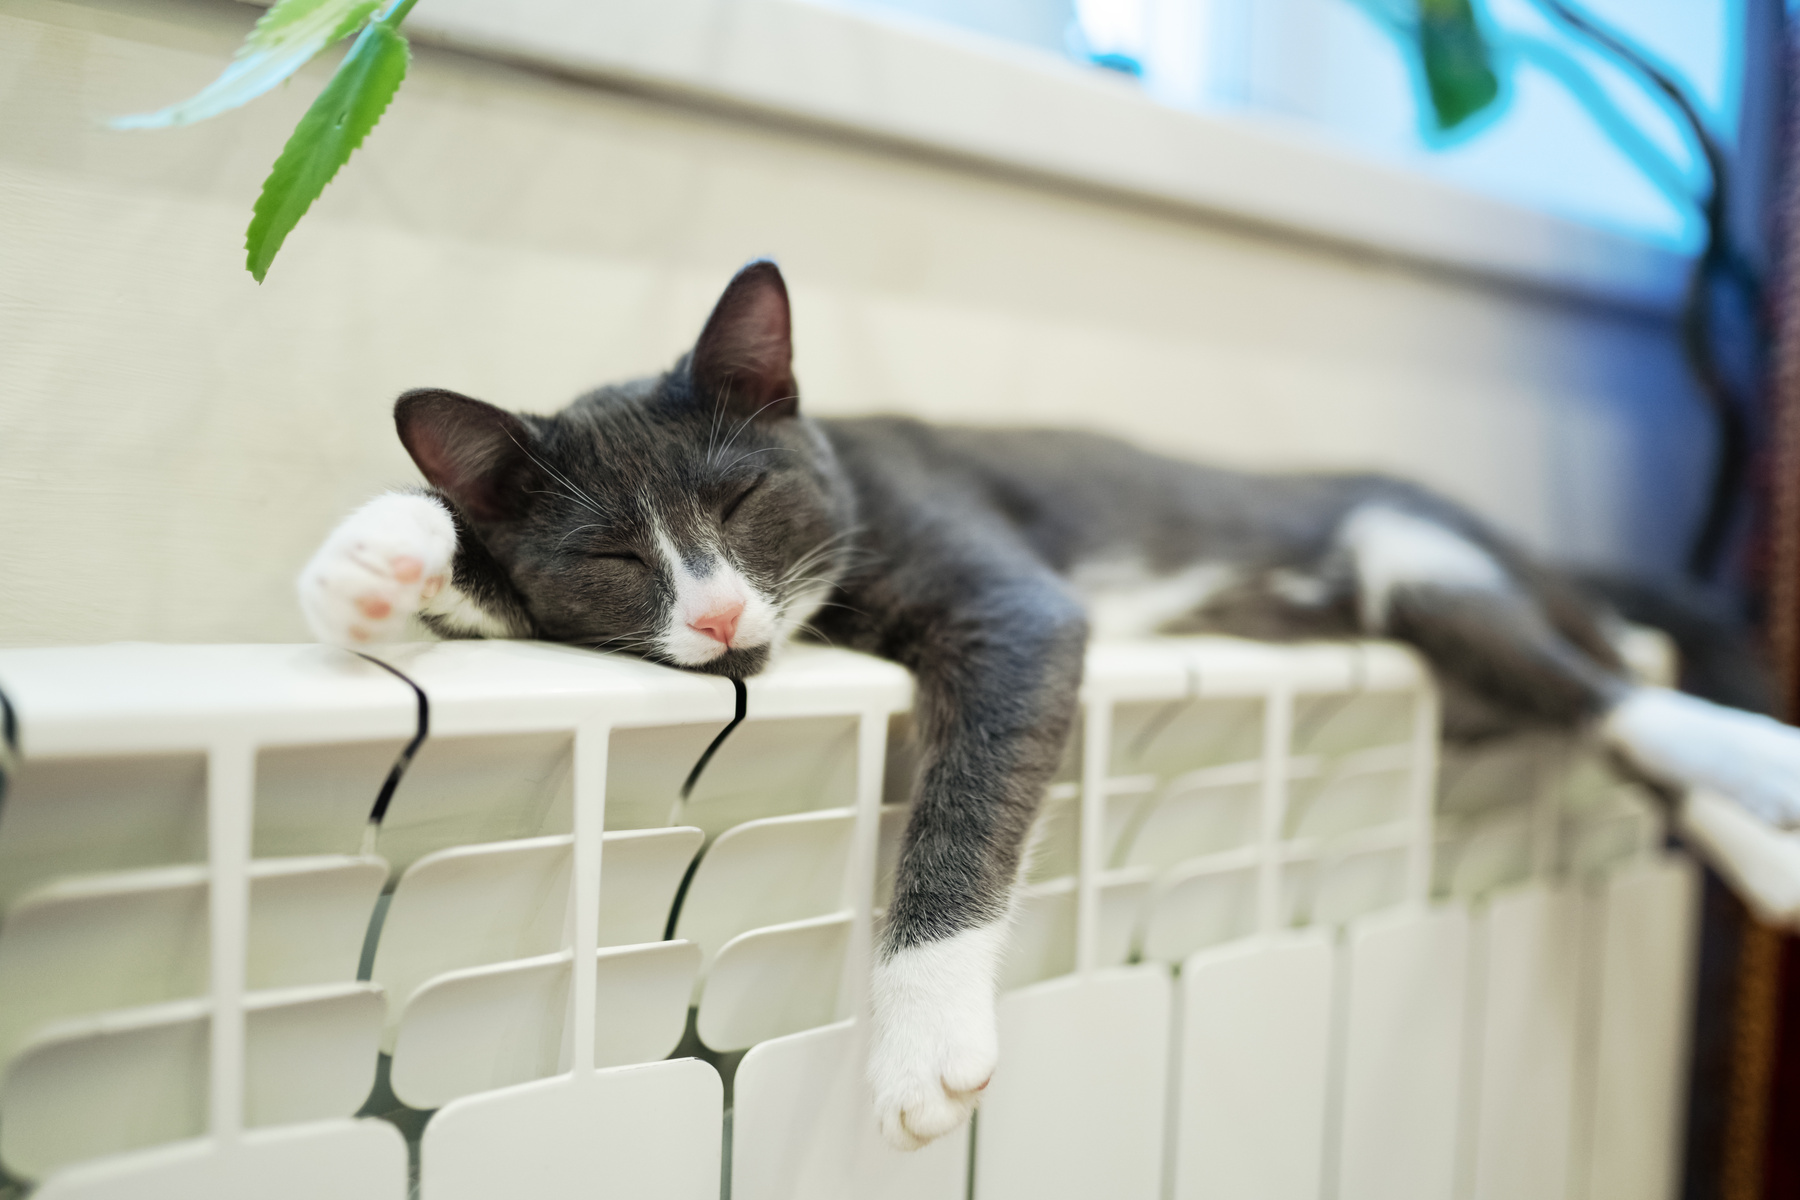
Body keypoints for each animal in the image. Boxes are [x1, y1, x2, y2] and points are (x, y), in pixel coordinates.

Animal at [302, 260, 1800, 1151]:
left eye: (741, 497)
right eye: (615, 559)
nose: (722, 619)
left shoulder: (1003, 594)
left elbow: (968, 798)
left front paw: (924, 1038)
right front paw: (377, 566)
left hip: (1415, 554)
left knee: (1614, 691)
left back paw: (1764, 775)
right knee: (1593, 708)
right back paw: (1771, 850)